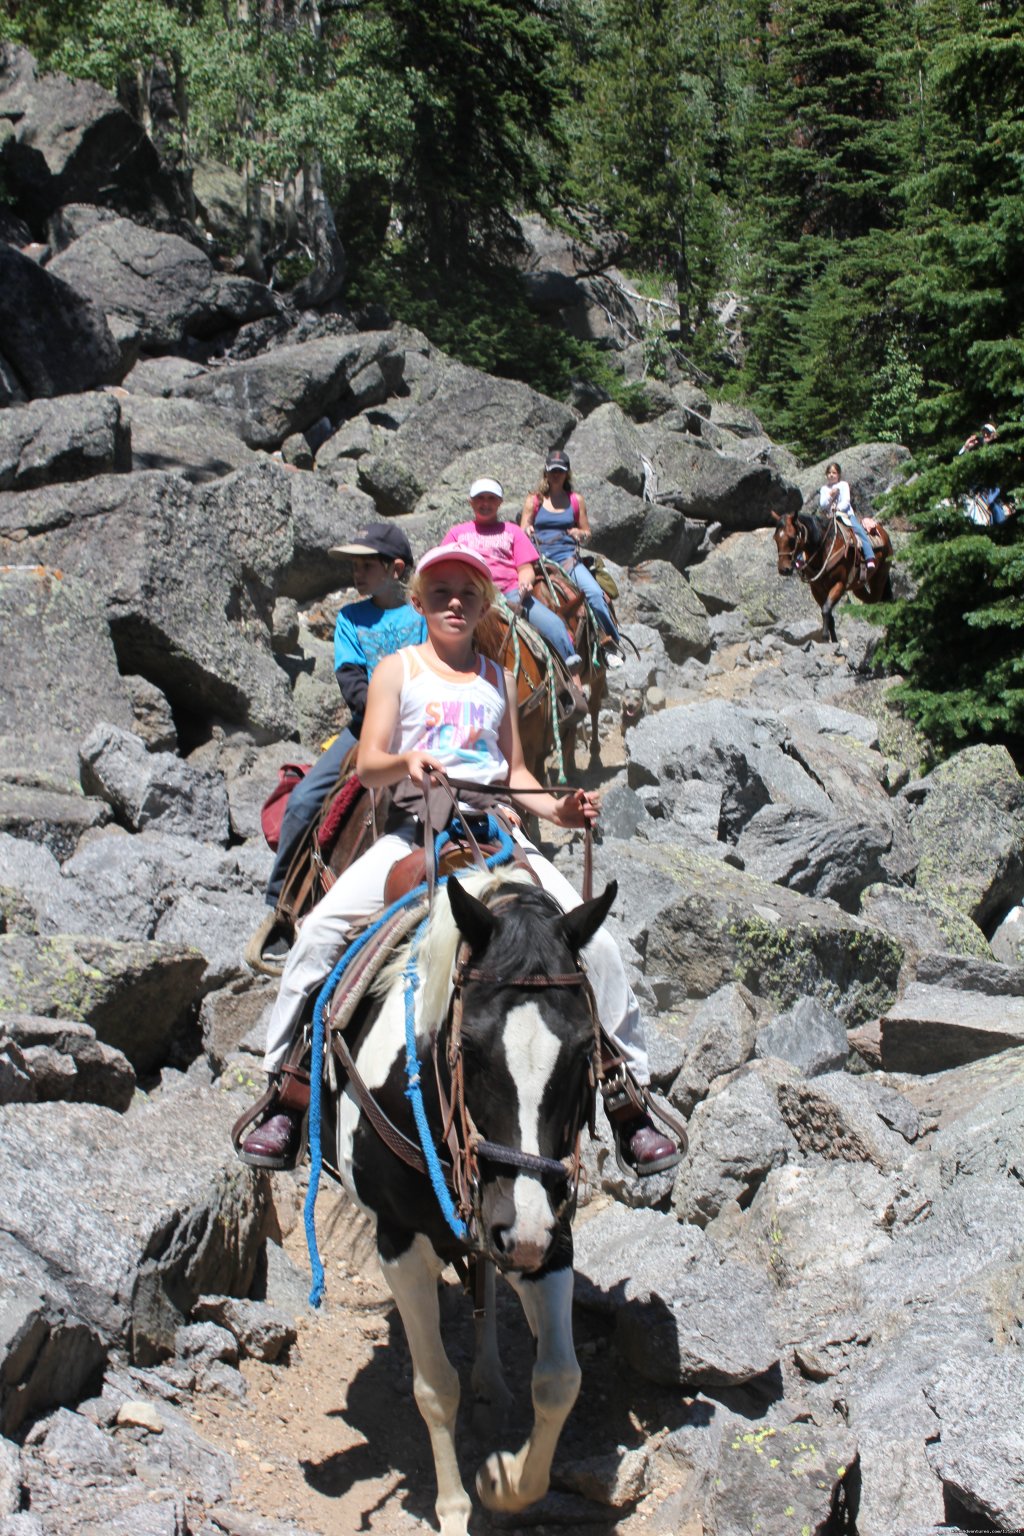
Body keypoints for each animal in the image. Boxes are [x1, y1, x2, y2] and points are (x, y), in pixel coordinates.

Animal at [328, 872, 617, 1536]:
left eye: (583, 1050)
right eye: (472, 1047)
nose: (523, 1230)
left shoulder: (551, 1232)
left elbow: (559, 1379)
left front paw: (504, 1481)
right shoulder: (400, 1242)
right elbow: (435, 1388)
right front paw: (457, 1509)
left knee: (486, 1277)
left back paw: (491, 1380)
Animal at [773, 509, 890, 642]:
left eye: (792, 538)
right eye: (775, 538)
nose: (783, 569)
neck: (824, 549)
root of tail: (883, 533)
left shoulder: (839, 585)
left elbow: (825, 610)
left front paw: (824, 637)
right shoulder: (816, 590)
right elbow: (829, 614)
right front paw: (833, 640)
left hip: (878, 580)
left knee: (881, 599)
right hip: (858, 587)